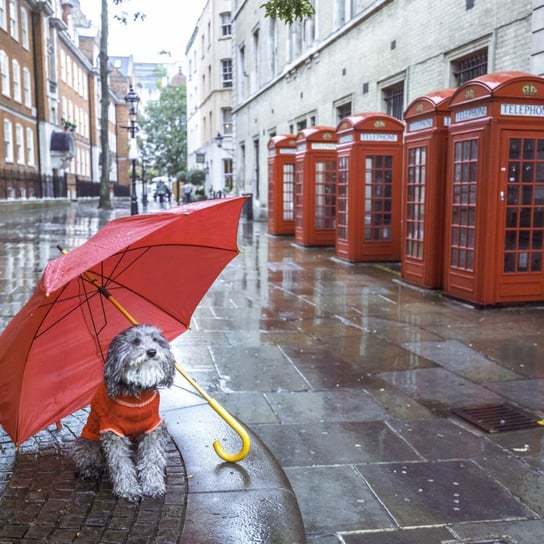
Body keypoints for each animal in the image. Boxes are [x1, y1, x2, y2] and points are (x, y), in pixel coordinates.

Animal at [73, 326, 176, 504]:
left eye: (155, 339)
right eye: (135, 341)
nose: (152, 351)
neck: (137, 394)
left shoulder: (152, 429)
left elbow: (152, 459)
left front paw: (153, 485)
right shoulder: (112, 432)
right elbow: (121, 464)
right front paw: (129, 490)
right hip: (87, 443)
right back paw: (90, 470)